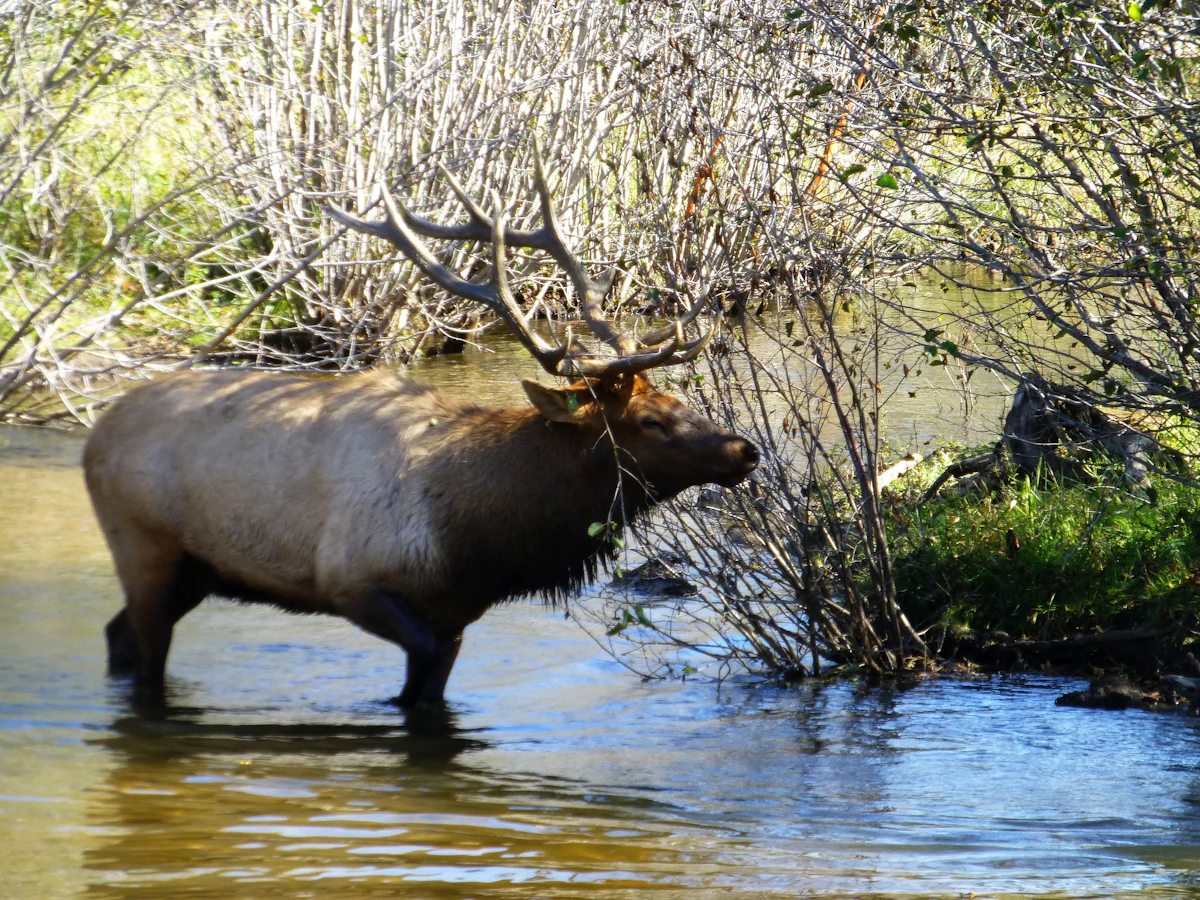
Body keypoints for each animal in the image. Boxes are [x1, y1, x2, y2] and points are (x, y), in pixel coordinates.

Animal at [83, 143, 760, 707]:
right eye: (649, 420)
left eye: (678, 397)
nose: (745, 450)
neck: (479, 533)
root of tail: (95, 434)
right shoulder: (352, 583)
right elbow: (413, 687)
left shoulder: (454, 615)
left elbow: (431, 690)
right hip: (142, 545)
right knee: (142, 649)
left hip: (195, 568)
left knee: (116, 634)